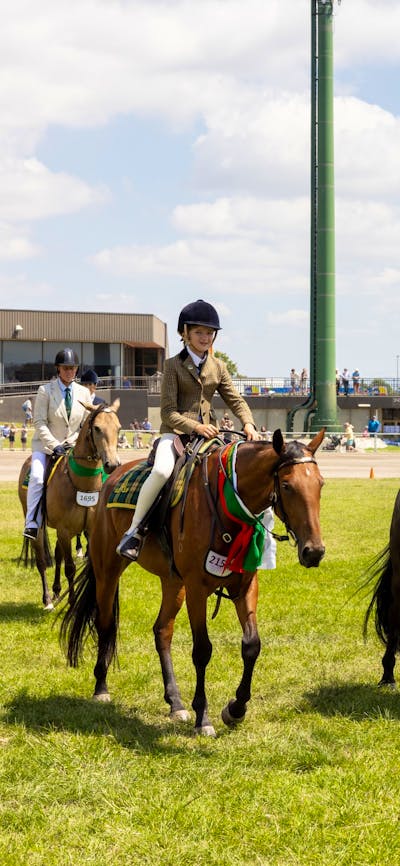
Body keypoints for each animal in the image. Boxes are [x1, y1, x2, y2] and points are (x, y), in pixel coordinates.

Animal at [18, 399, 121, 611]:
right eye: (97, 428)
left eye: (119, 428)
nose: (113, 464)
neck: (82, 484)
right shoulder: (64, 530)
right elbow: (70, 568)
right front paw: (73, 602)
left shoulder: (87, 529)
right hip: (38, 525)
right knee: (42, 560)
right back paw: (48, 599)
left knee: (57, 555)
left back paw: (57, 591)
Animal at [60, 428, 325, 736]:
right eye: (286, 485)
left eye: (320, 484)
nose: (314, 551)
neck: (226, 501)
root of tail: (112, 477)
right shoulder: (197, 589)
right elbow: (202, 650)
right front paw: (204, 717)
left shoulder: (245, 585)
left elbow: (251, 645)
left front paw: (236, 709)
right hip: (108, 570)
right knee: (105, 624)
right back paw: (101, 688)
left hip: (173, 583)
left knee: (162, 631)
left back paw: (175, 702)